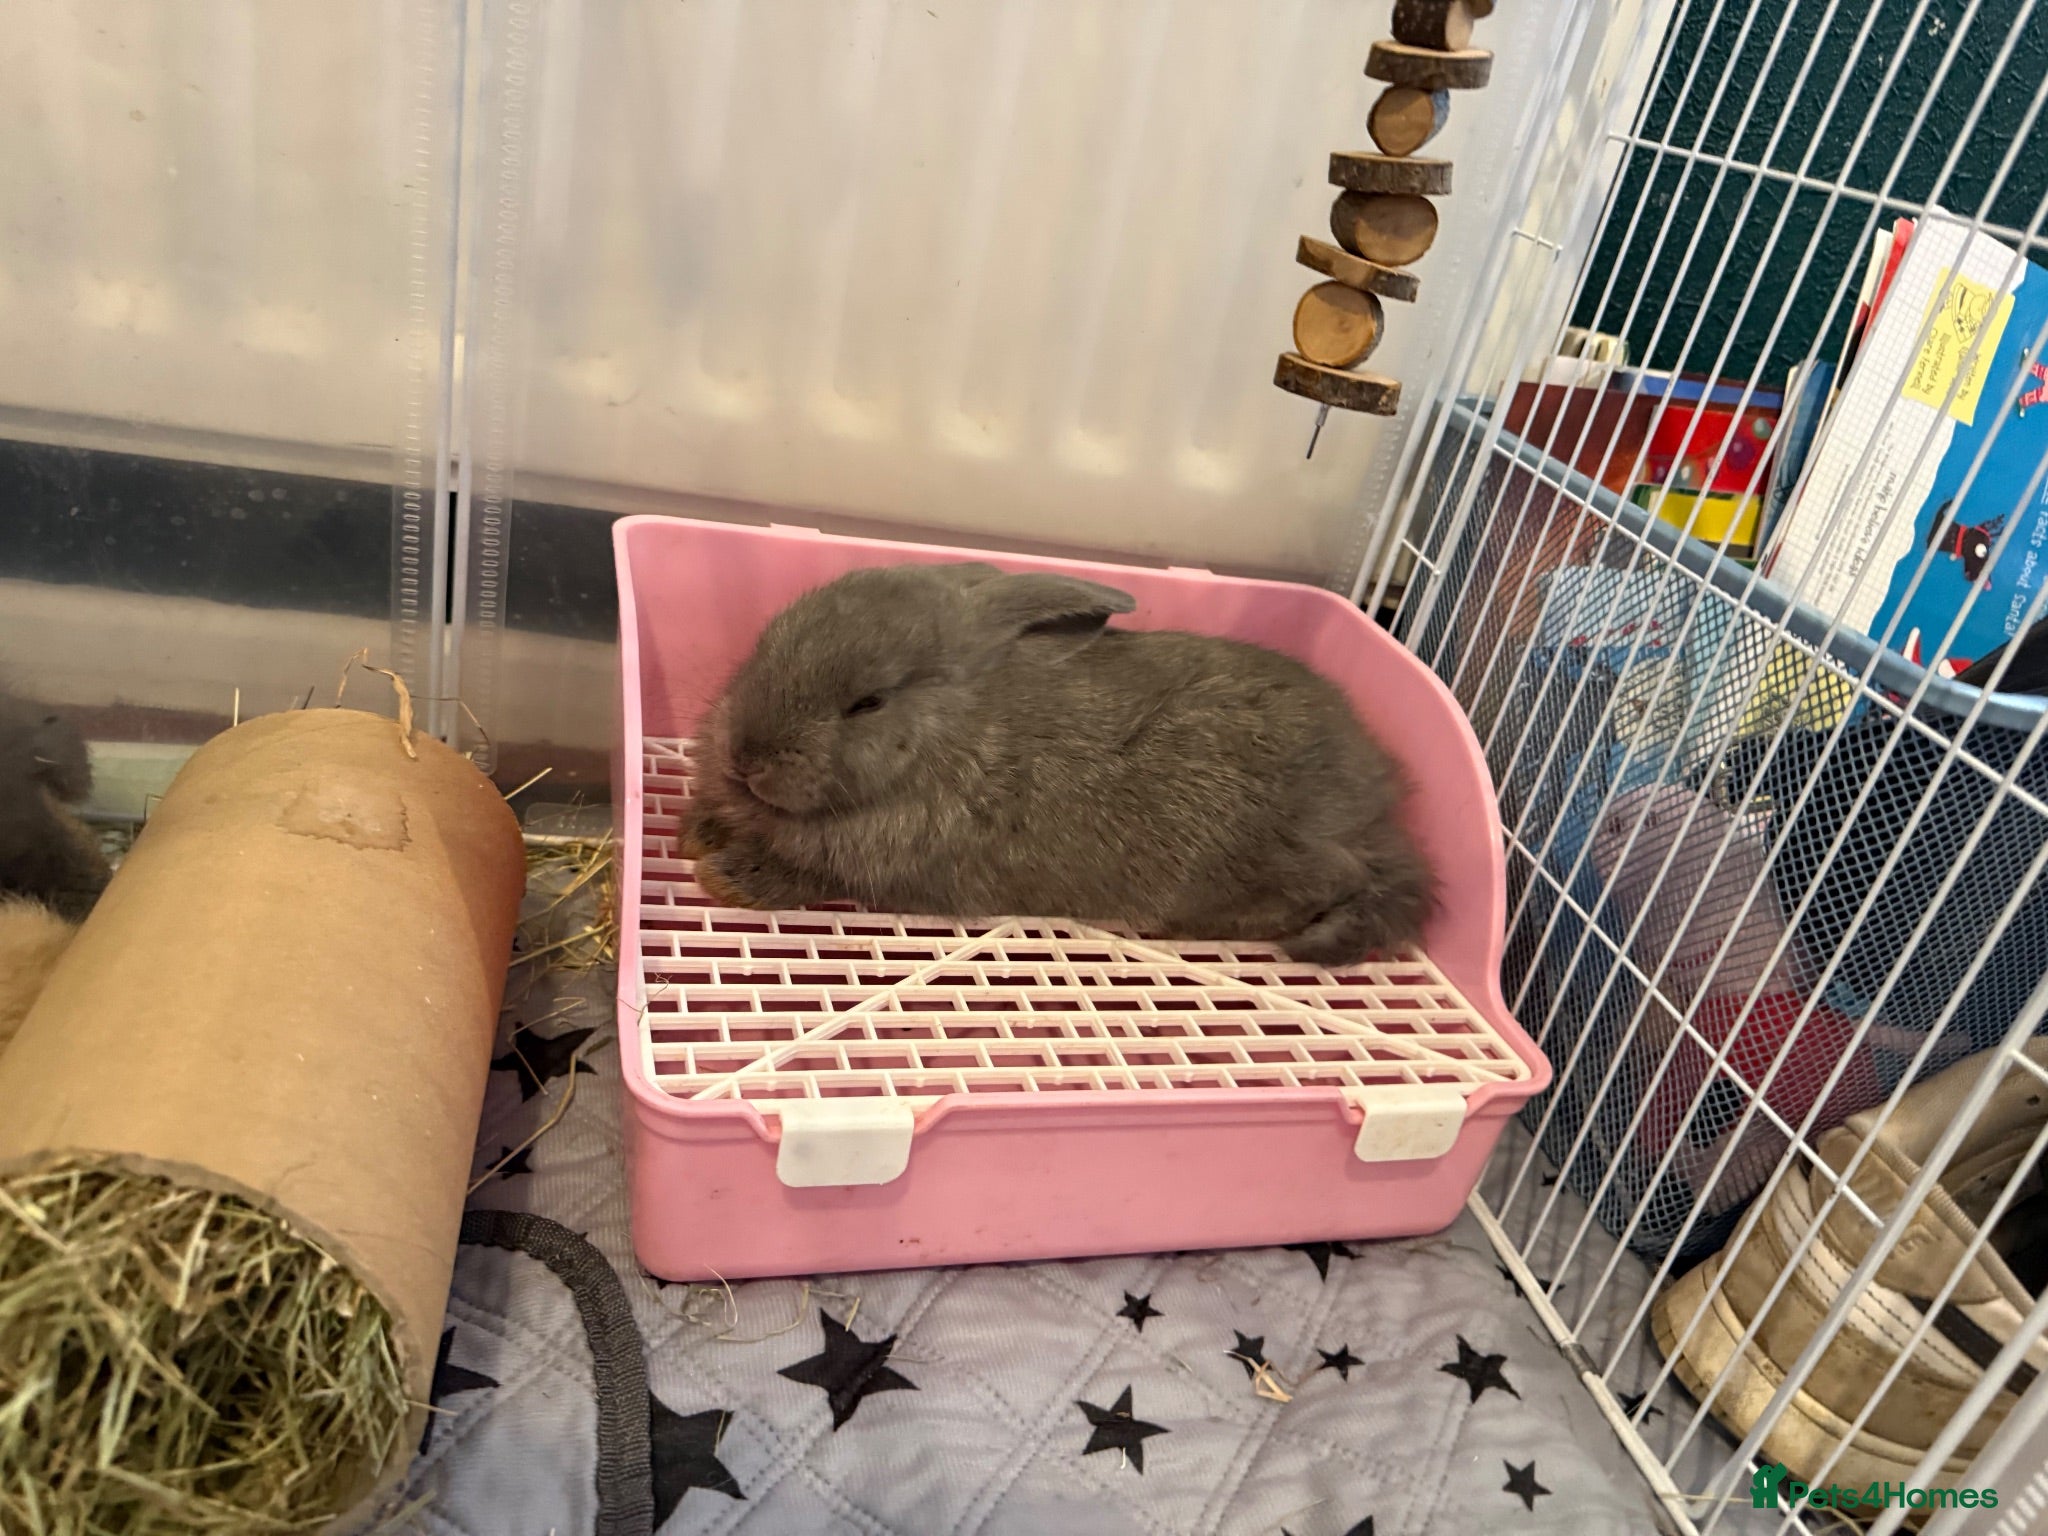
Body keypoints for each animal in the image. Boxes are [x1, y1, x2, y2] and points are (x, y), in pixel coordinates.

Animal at [681, 562, 1434, 967]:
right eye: (770, 638)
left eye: (868, 702)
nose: (745, 755)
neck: (954, 735)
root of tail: (1374, 808)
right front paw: (693, 835)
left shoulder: (872, 867)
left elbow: (797, 874)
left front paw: (724, 878)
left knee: (1328, 882)